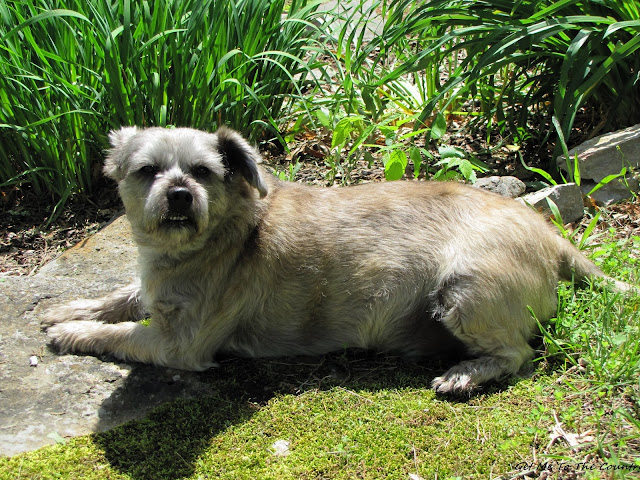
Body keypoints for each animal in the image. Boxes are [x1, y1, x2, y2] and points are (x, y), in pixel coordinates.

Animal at [43, 126, 628, 394]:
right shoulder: (152, 292)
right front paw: (71, 308)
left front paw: (72, 331)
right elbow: (124, 294)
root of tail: (550, 235)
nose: (182, 194)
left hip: (463, 291)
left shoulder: (177, 344)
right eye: (147, 171)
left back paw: (465, 374)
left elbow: (121, 334)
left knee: (518, 353)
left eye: (205, 171)